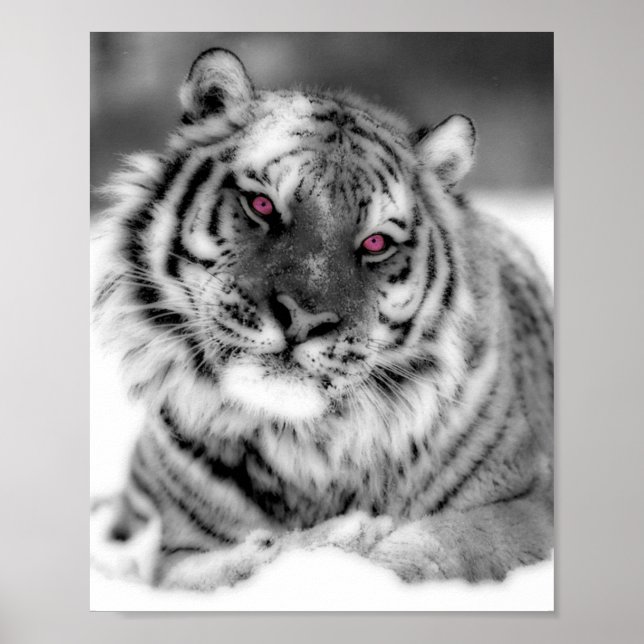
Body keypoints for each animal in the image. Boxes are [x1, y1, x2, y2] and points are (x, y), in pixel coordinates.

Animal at [90, 47, 554, 590]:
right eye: (262, 204)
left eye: (375, 242)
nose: (303, 319)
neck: (303, 450)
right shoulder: (177, 550)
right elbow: (220, 570)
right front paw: (330, 539)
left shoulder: (526, 507)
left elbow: (427, 550)